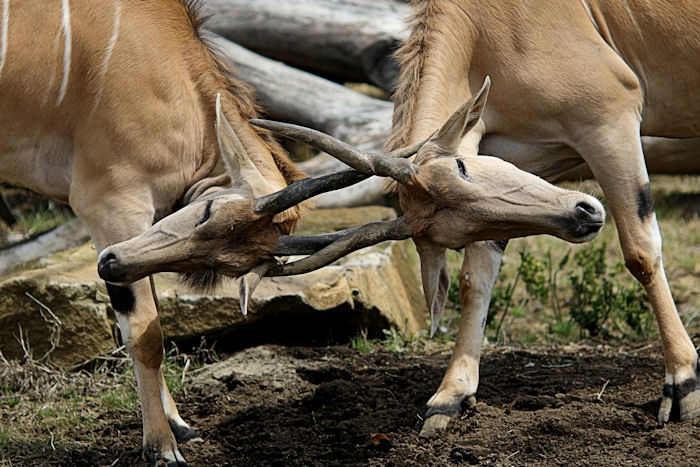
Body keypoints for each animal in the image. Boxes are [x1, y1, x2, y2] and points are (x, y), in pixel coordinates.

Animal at [382, 0, 700, 436]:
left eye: (463, 167)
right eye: (458, 237)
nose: (585, 215)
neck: (478, 30)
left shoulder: (609, 123)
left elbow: (640, 252)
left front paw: (683, 382)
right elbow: (474, 279)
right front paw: (449, 396)